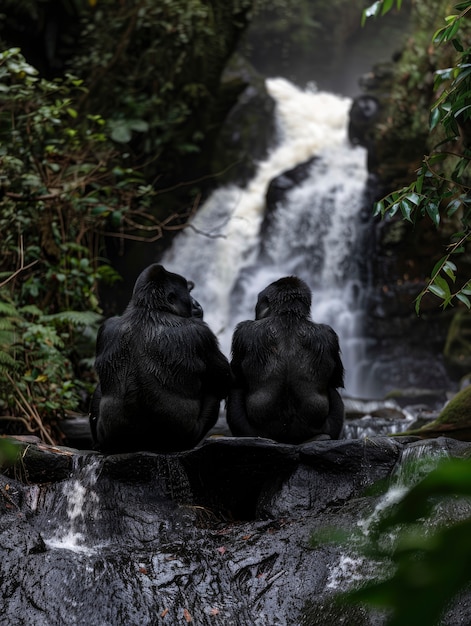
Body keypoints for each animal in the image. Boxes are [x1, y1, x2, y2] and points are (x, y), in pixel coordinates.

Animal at [89, 262, 231, 448]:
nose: (197, 304)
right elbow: (223, 381)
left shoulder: (106, 326)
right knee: (214, 395)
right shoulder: (201, 333)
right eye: (188, 293)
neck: (149, 308)